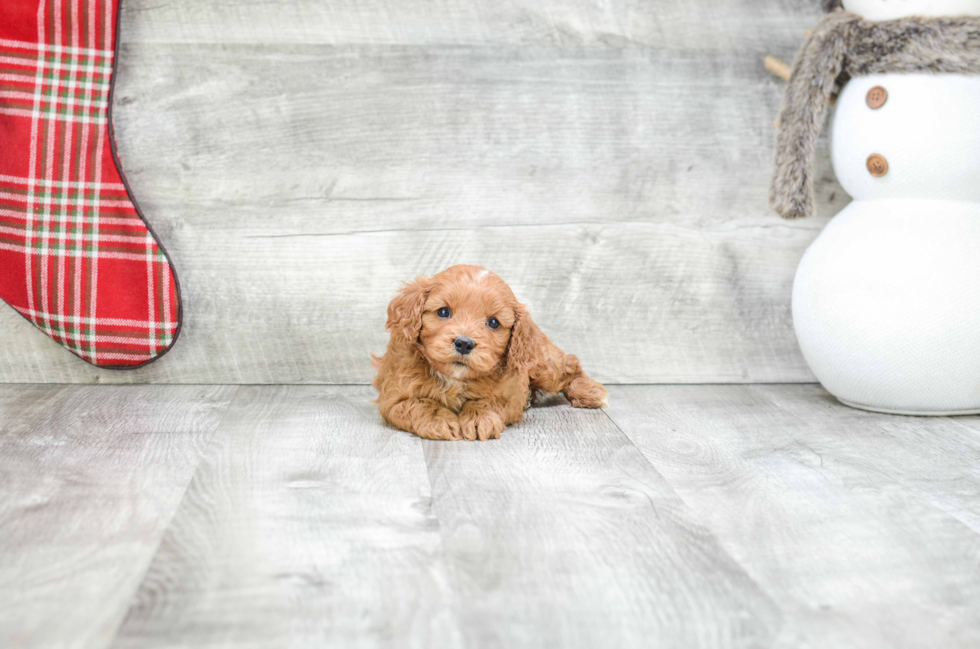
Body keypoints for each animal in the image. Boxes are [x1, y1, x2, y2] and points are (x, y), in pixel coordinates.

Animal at [374, 264, 608, 440]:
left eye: (494, 322)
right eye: (443, 311)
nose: (464, 343)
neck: (455, 379)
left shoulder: (511, 395)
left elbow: (487, 401)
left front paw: (478, 418)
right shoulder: (393, 397)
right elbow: (419, 403)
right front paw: (438, 419)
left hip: (542, 365)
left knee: (569, 364)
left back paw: (590, 392)